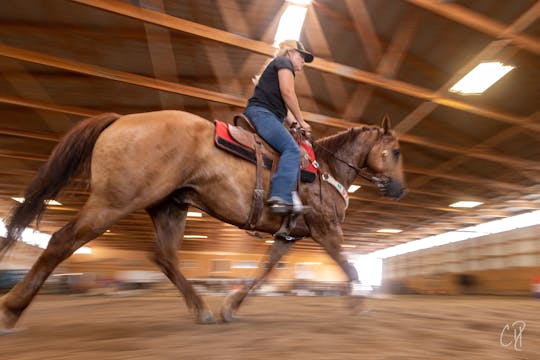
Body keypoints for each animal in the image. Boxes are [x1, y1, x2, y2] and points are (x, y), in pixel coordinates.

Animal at [0, 109, 404, 330]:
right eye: (396, 151)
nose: (400, 189)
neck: (326, 168)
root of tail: (120, 121)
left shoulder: (288, 236)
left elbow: (263, 272)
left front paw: (230, 306)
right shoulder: (326, 229)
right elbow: (349, 266)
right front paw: (360, 304)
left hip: (169, 206)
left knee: (164, 257)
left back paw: (203, 310)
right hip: (114, 202)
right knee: (62, 241)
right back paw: (11, 308)